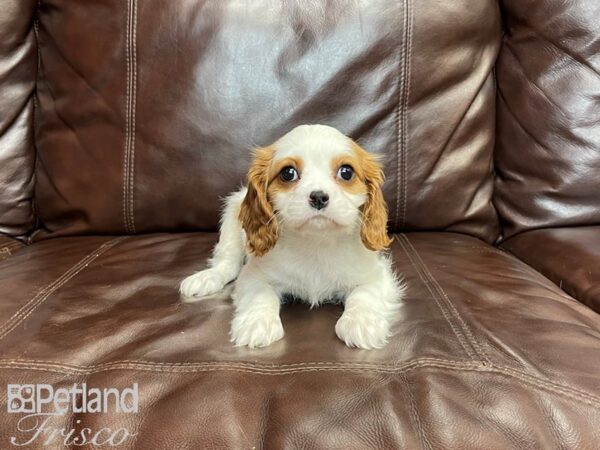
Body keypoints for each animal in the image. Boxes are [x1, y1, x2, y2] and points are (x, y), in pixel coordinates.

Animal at [178, 125, 404, 350]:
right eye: (288, 173)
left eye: (346, 172)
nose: (319, 197)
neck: (316, 241)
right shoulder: (254, 275)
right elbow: (261, 294)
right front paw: (257, 322)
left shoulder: (376, 275)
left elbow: (365, 293)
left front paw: (362, 323)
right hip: (231, 214)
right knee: (227, 263)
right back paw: (207, 278)